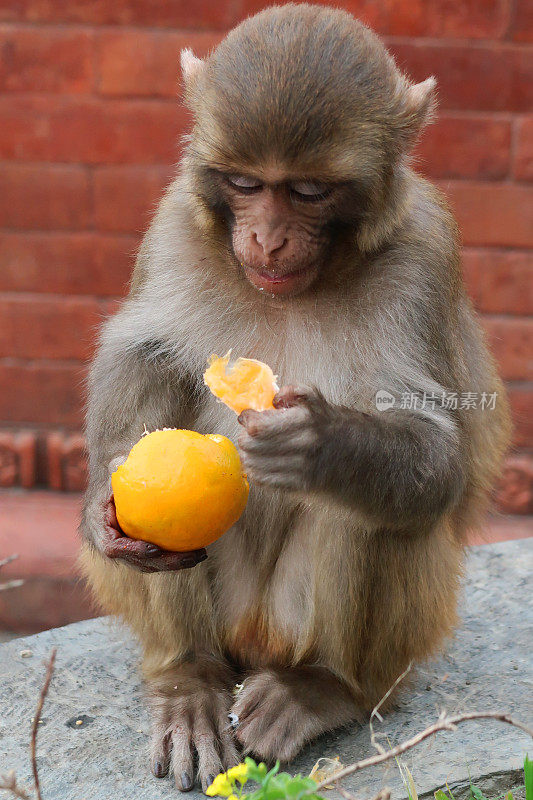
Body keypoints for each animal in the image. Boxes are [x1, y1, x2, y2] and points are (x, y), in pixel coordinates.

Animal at [78, 4, 508, 792]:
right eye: (245, 182)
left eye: (307, 191)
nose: (269, 239)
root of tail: (254, 643)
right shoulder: (174, 223)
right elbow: (143, 351)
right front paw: (104, 496)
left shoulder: (426, 255)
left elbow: (436, 453)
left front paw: (323, 443)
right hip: (226, 619)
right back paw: (188, 680)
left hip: (368, 631)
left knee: (375, 510)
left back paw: (322, 689)